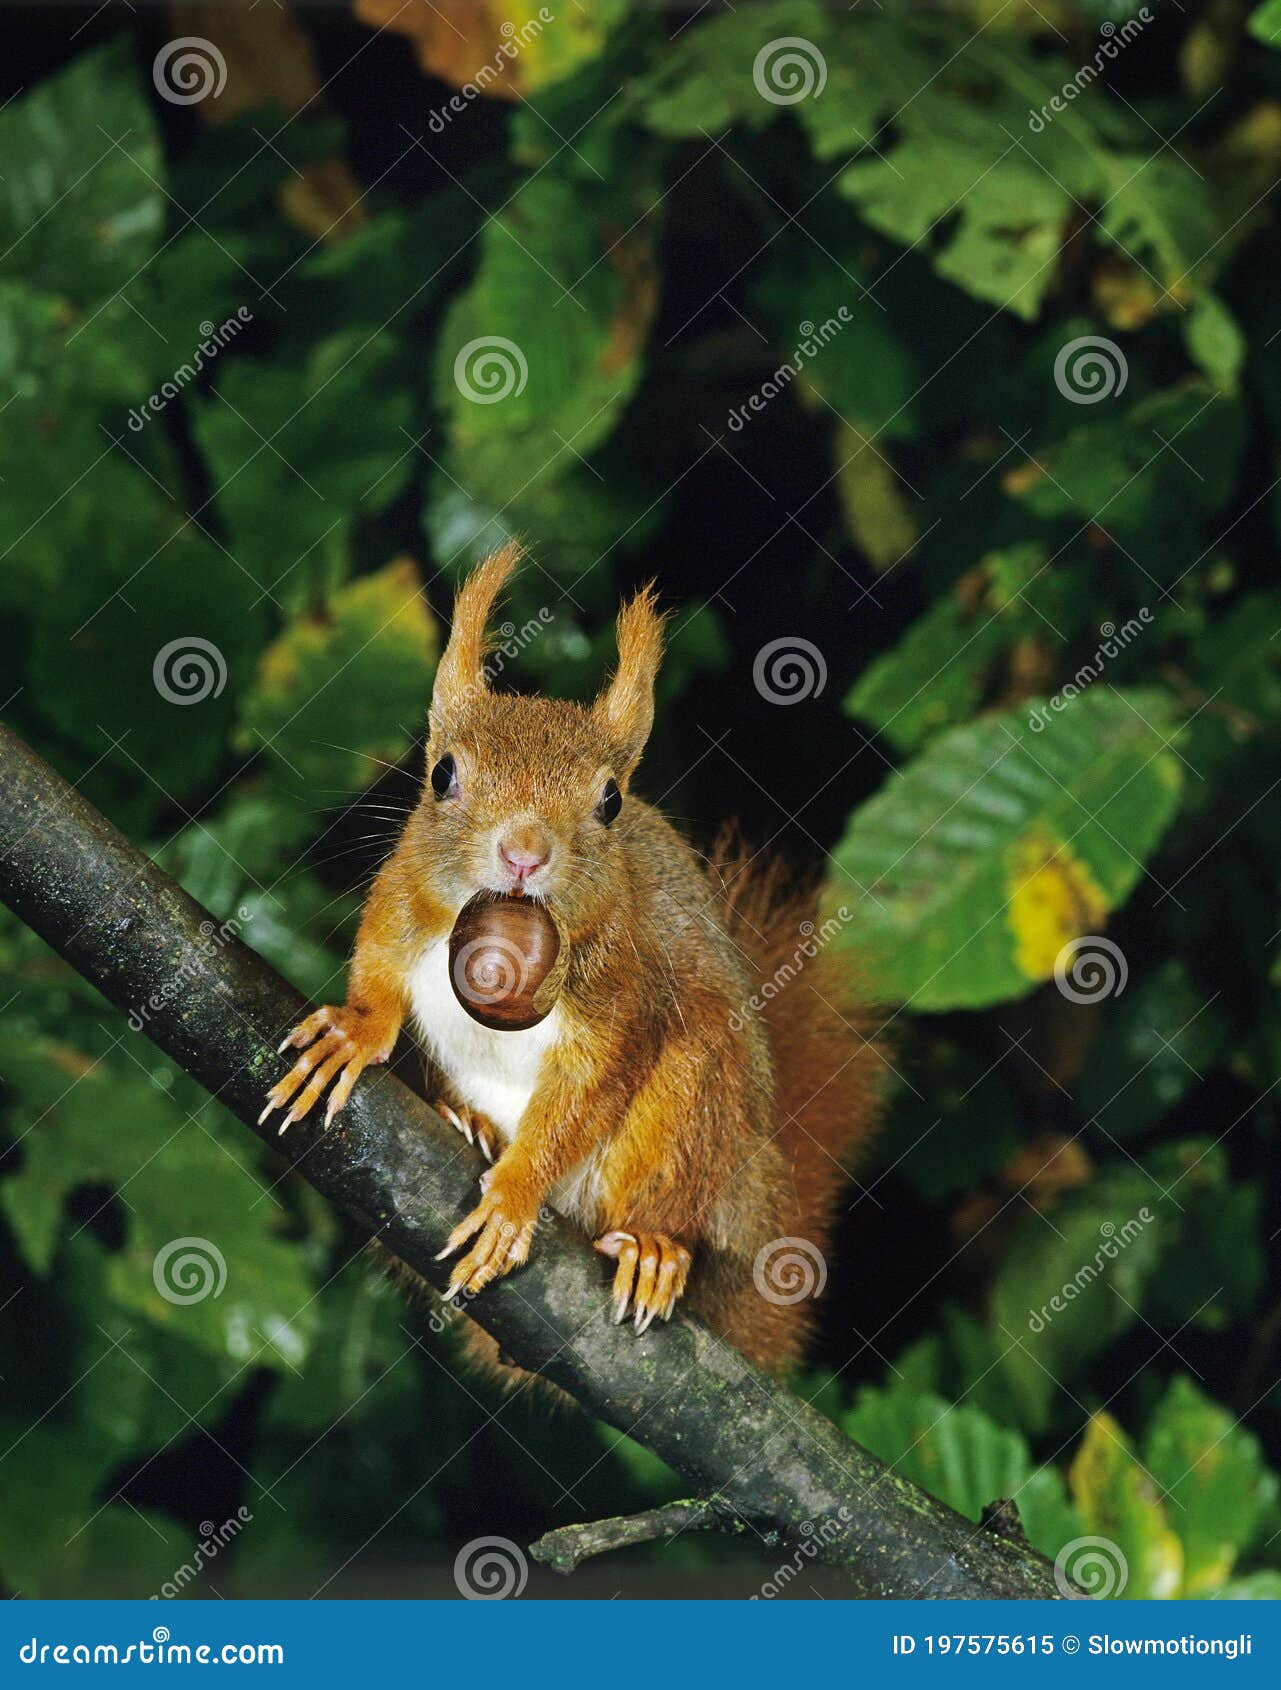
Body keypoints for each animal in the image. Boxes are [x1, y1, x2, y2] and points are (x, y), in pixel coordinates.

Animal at [262, 542, 882, 1378]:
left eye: (610, 801)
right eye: (442, 774)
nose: (524, 853)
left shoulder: (620, 986)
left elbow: (585, 1094)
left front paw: (515, 1195)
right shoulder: (404, 891)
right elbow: (380, 968)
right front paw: (352, 1034)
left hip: (698, 1113)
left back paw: (655, 1250)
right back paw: (467, 1121)